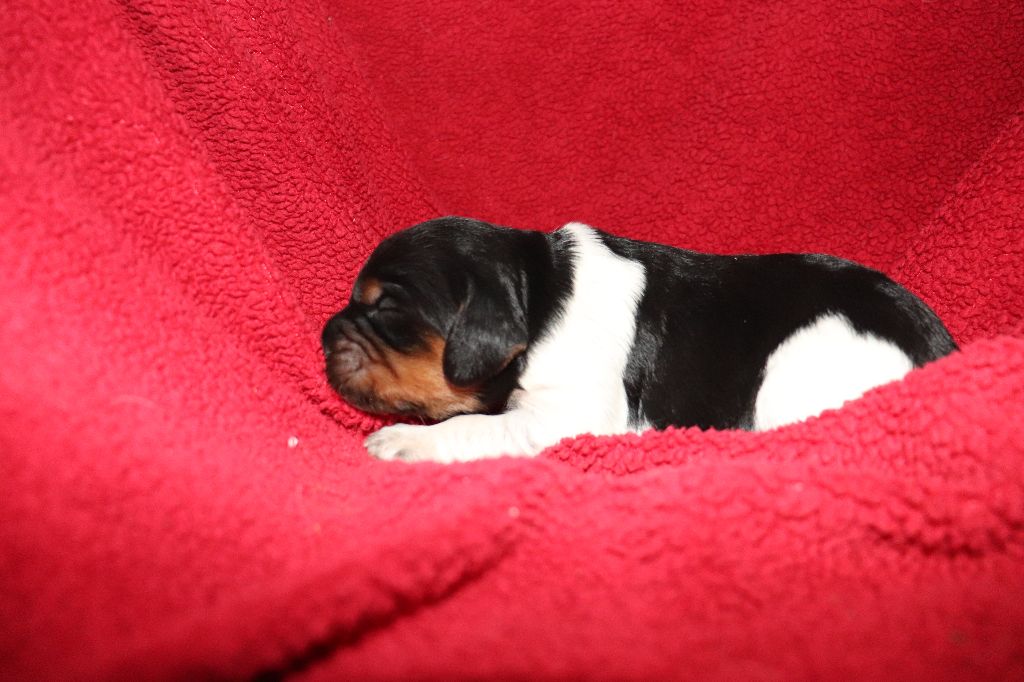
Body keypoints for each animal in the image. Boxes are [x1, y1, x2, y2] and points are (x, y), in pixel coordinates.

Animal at [323, 218, 954, 462]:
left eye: (387, 309)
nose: (326, 335)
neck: (541, 294)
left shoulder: (569, 414)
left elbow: (475, 425)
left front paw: (402, 440)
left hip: (795, 371)